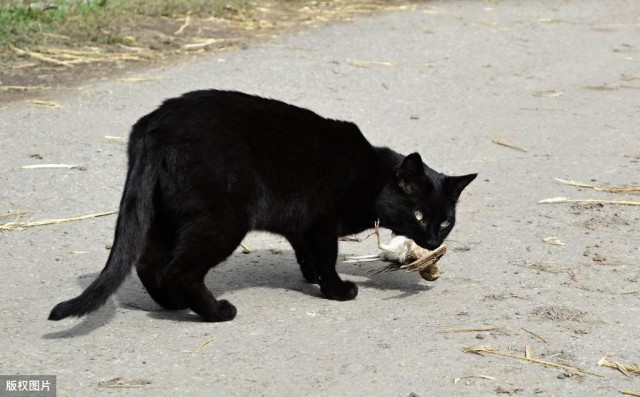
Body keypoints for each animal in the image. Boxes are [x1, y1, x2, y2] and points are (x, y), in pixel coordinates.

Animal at [48, 89, 476, 322]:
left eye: (446, 222)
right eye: (418, 214)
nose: (432, 239)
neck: (370, 176)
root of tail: (155, 124)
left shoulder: (303, 227)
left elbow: (308, 256)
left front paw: (311, 278)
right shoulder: (321, 222)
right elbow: (327, 258)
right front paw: (337, 290)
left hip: (165, 214)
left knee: (148, 263)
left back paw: (173, 306)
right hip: (223, 220)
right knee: (178, 269)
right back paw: (215, 312)